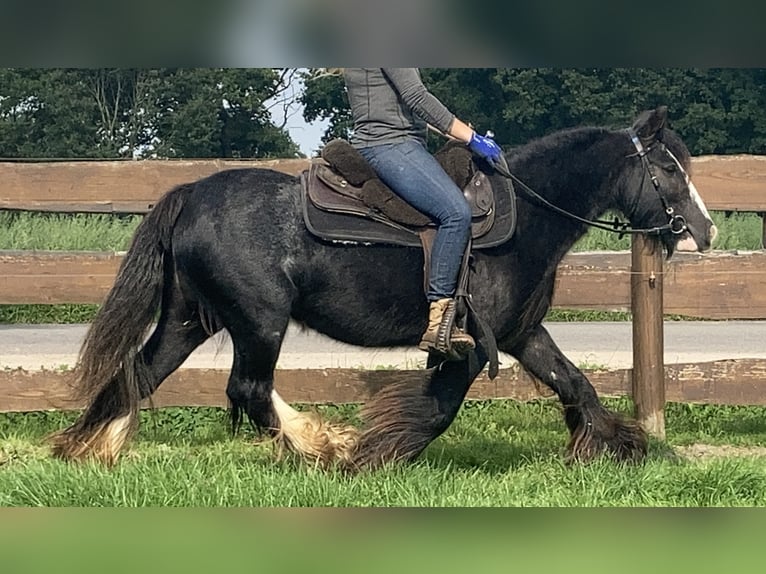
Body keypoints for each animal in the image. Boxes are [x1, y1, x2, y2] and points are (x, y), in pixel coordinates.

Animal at [52, 108, 720, 472]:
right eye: (667, 170)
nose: (705, 231)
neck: (524, 214)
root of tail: (191, 194)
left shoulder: (522, 333)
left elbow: (575, 383)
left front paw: (620, 445)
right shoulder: (470, 346)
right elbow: (438, 408)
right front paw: (378, 452)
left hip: (191, 318)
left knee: (139, 372)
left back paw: (90, 448)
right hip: (259, 320)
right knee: (248, 388)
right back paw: (321, 445)